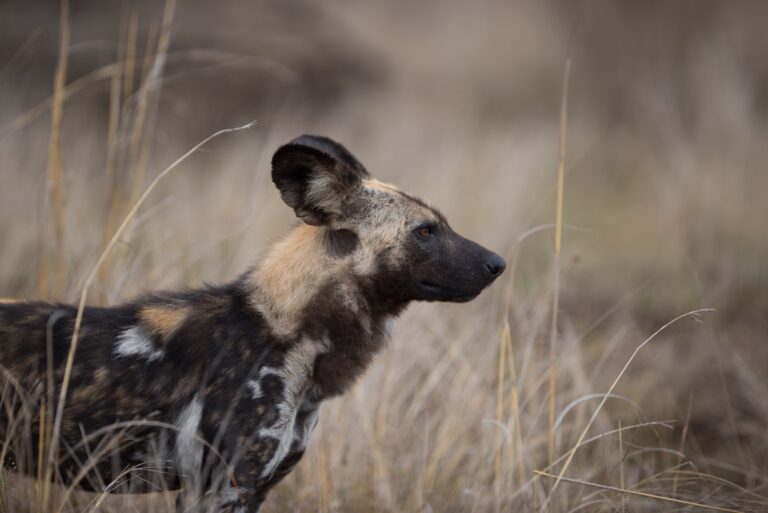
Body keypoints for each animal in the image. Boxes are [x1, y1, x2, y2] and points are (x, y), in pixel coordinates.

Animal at [1, 134, 504, 510]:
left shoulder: (256, 488)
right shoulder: (220, 489)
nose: (498, 263)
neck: (285, 333)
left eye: (440, 224)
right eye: (425, 231)